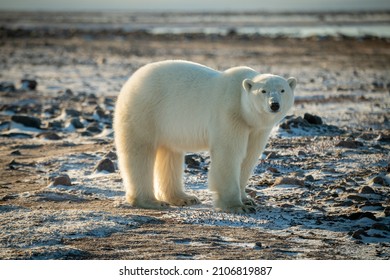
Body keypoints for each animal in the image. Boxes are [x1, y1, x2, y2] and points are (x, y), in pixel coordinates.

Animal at [114, 60, 298, 213]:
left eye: (282, 90)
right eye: (263, 91)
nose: (274, 105)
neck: (242, 103)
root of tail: (130, 82)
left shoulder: (256, 128)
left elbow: (249, 157)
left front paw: (247, 199)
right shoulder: (229, 114)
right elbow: (229, 155)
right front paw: (237, 206)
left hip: (166, 124)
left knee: (170, 155)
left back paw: (184, 198)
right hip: (145, 110)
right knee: (140, 153)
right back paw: (150, 201)